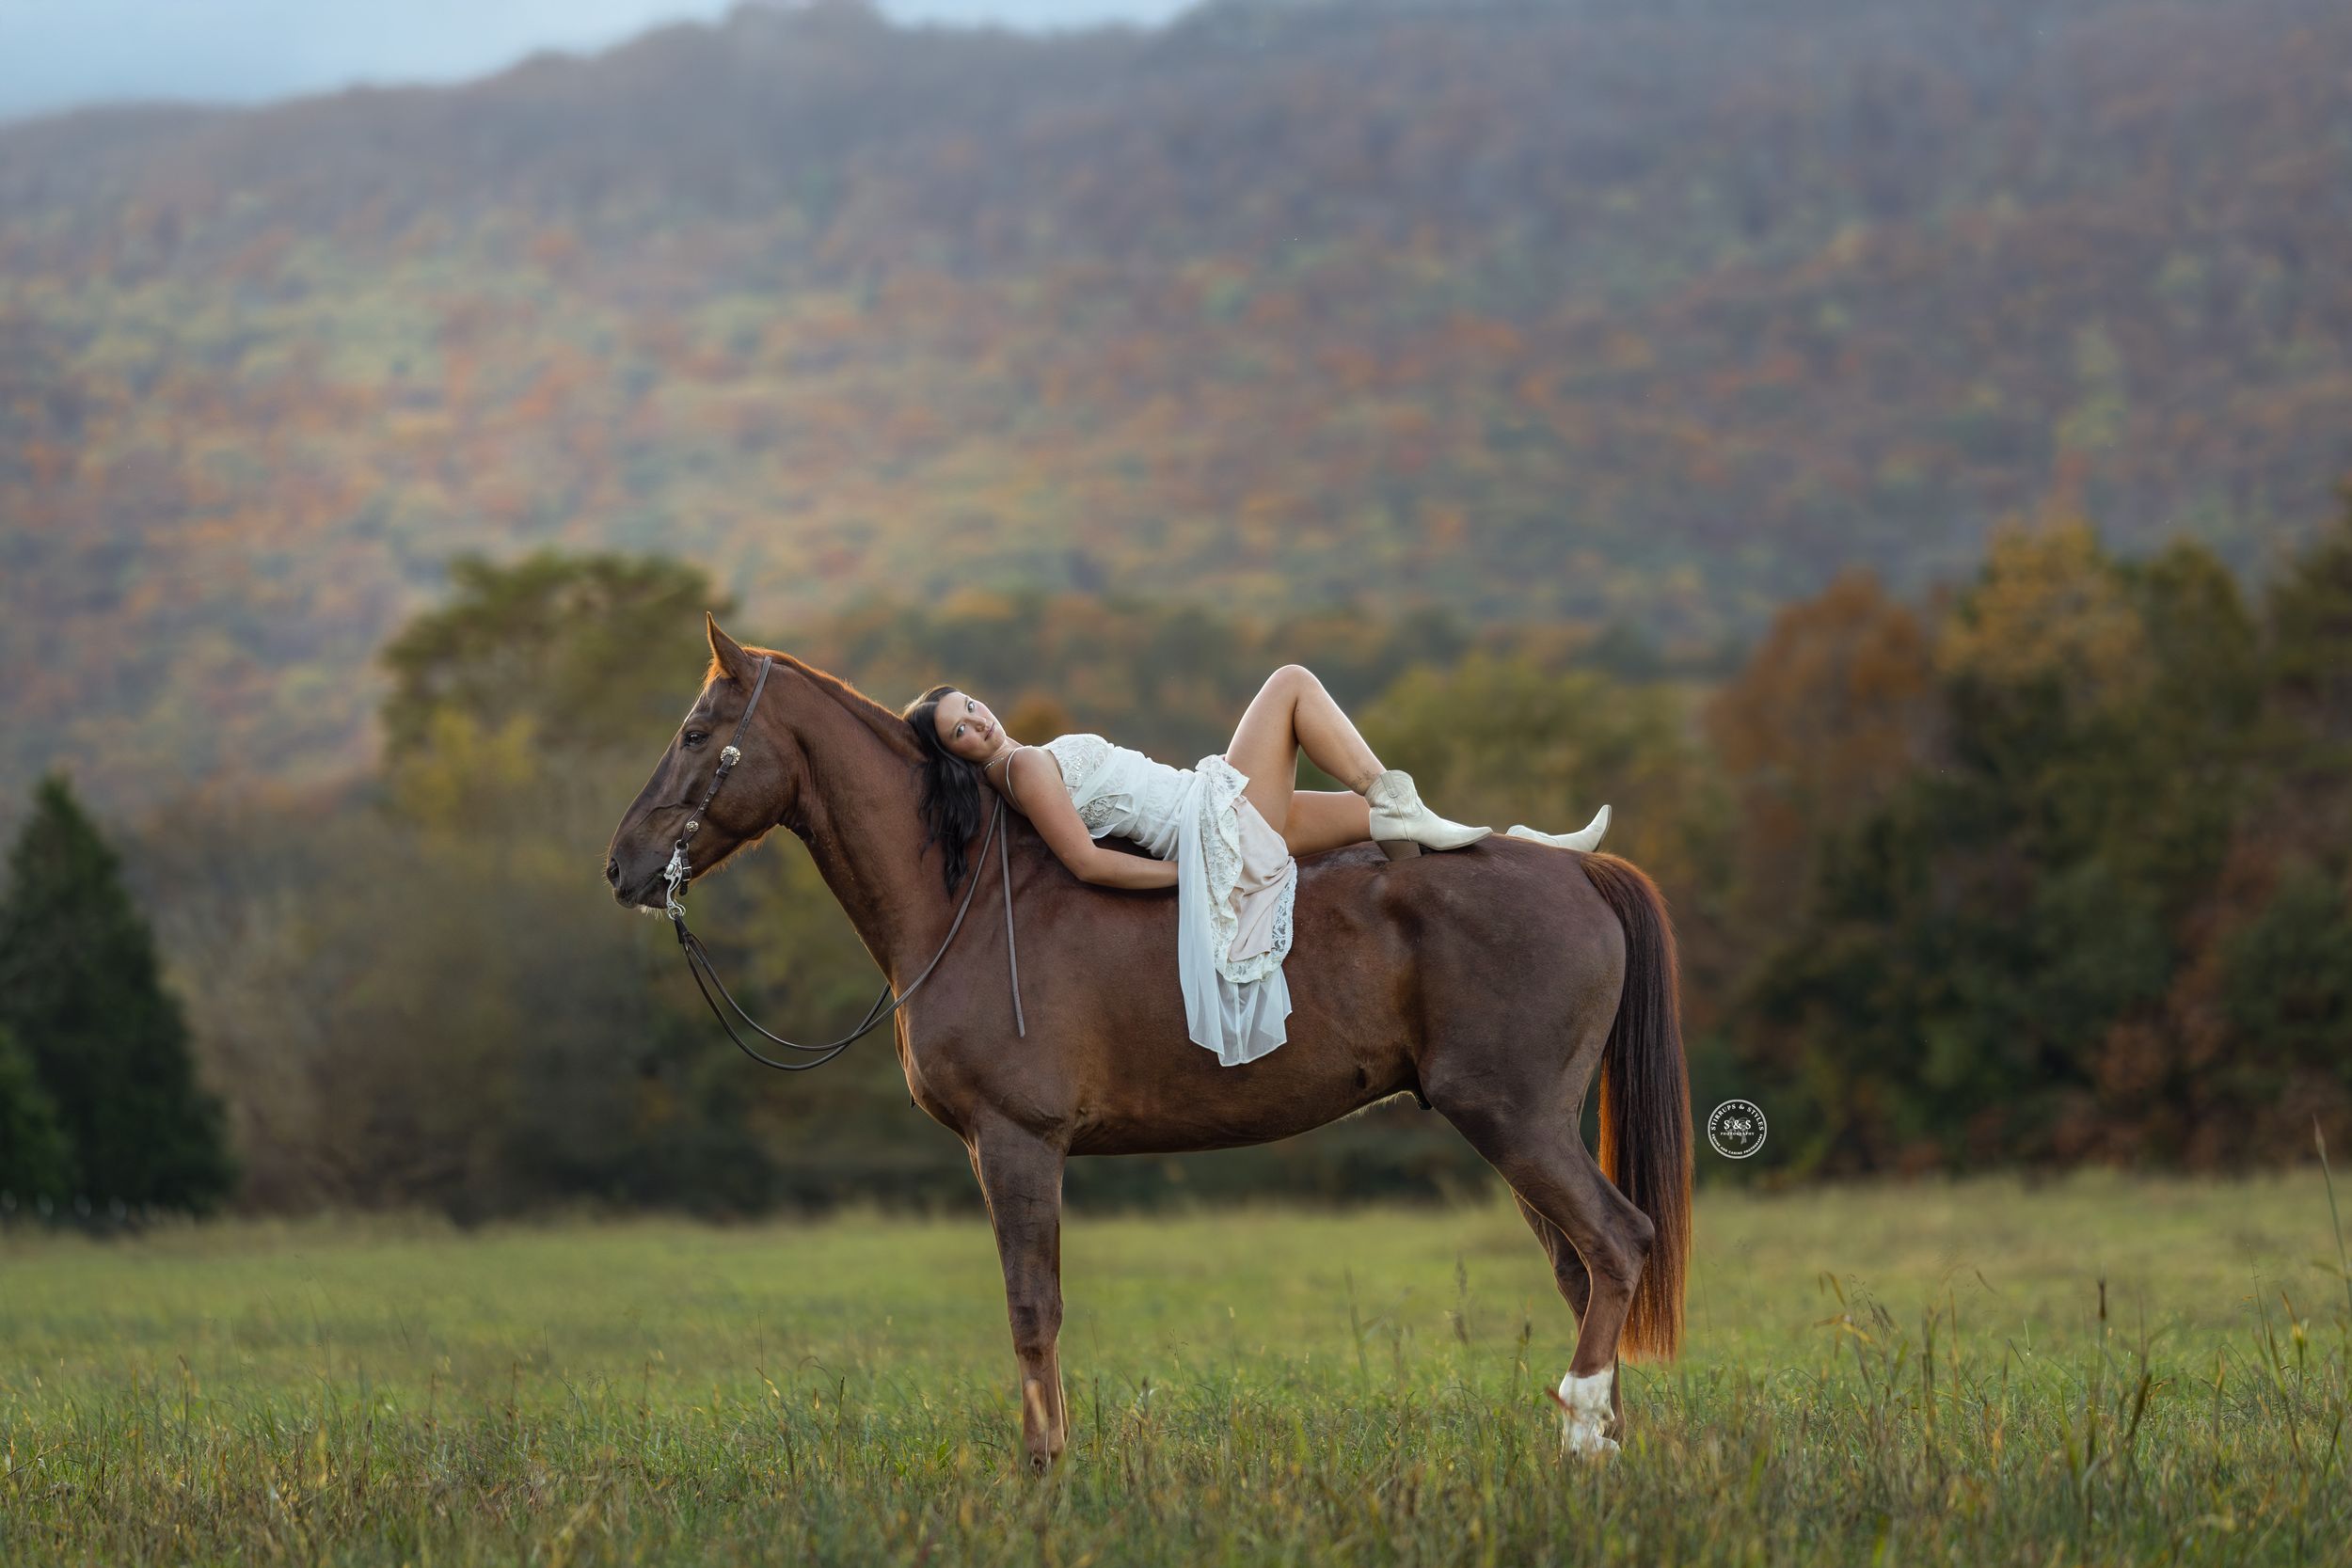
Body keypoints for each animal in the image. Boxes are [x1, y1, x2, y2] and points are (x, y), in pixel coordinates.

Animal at [605, 618, 1693, 1470]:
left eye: (696, 733)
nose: (621, 865)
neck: (968, 902)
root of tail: (1579, 873)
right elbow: (1034, 1309)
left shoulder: (1016, 1143)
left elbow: (1031, 1309)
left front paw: (1044, 1470)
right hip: (1517, 1128)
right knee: (1587, 1270)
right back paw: (1601, 1442)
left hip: (1512, 1118)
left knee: (1617, 1242)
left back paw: (1583, 1427)